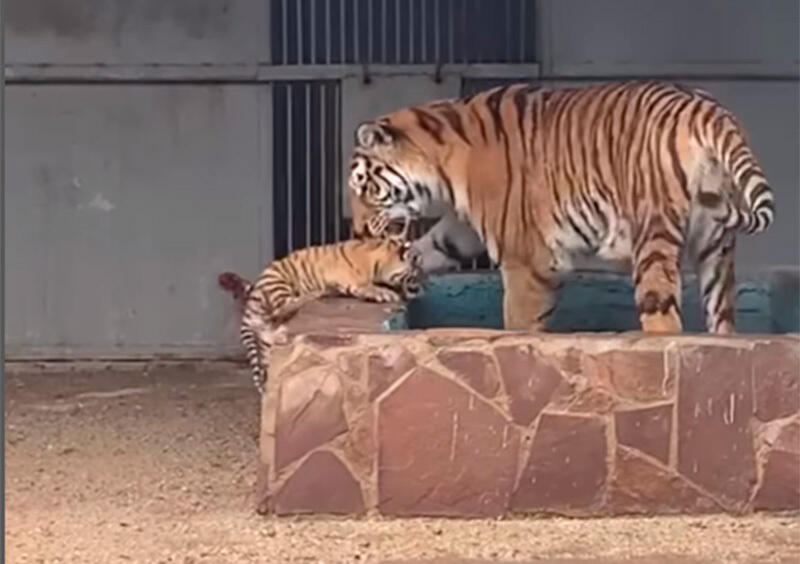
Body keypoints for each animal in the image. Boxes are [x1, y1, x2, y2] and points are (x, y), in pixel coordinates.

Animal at [232, 238, 423, 393]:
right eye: (416, 273)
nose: (420, 287)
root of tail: (253, 296)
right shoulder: (351, 279)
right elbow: (367, 286)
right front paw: (385, 293)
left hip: (264, 342)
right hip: (279, 281)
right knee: (286, 305)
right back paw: (316, 294)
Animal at [347, 80, 774, 334]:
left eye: (362, 186)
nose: (358, 231)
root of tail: (711, 113)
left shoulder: (524, 258)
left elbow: (519, 323)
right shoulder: (464, 229)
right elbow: (431, 247)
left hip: (654, 236)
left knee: (665, 323)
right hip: (716, 250)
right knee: (723, 321)